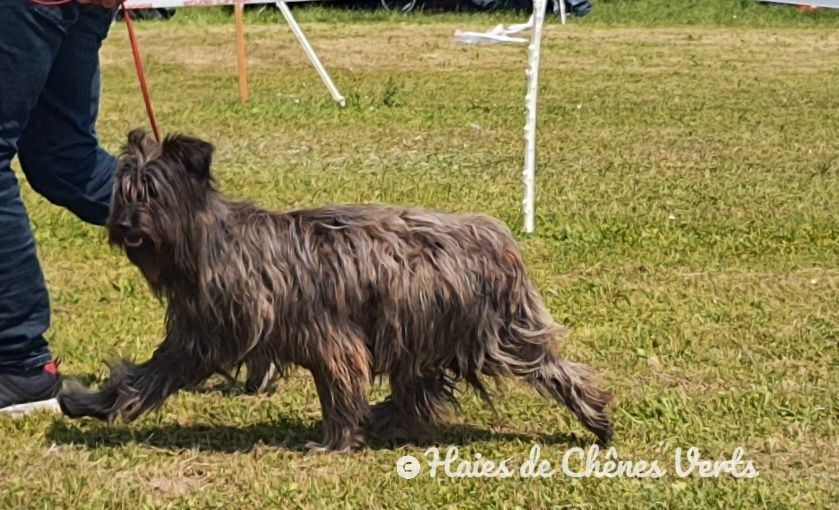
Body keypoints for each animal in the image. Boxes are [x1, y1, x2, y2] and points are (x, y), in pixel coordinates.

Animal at [57, 129, 612, 452]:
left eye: (152, 194)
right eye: (123, 193)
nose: (124, 225)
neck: (210, 243)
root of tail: (496, 238)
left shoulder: (327, 338)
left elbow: (338, 390)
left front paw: (333, 442)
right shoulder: (197, 340)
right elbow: (142, 379)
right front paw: (91, 404)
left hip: (484, 332)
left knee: (552, 369)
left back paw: (597, 416)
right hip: (420, 331)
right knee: (417, 391)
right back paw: (384, 417)